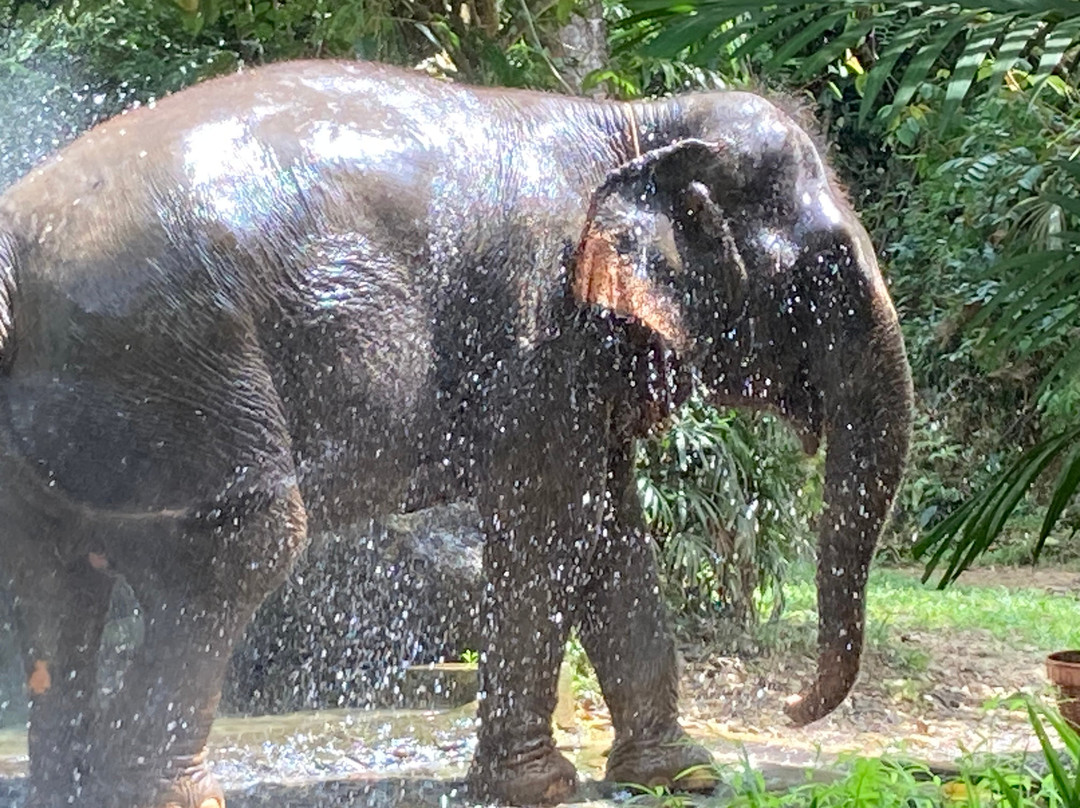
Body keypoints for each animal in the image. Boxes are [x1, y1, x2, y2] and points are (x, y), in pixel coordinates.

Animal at [0, 58, 913, 807]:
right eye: (827, 266)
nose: (792, 709)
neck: (634, 123)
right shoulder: (542, 332)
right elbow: (552, 525)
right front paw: (538, 788)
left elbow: (613, 533)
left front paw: (679, 777)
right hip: (173, 359)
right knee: (241, 541)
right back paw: (169, 794)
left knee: (54, 568)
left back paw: (68, 790)